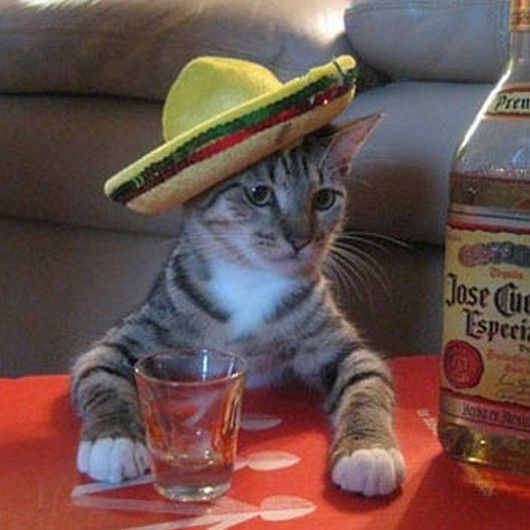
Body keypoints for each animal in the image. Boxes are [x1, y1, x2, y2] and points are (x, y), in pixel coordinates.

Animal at [70, 114, 404, 496]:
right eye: (259, 194)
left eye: (324, 198)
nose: (301, 239)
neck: (251, 282)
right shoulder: (129, 334)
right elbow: (100, 374)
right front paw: (113, 441)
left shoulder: (339, 344)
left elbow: (368, 381)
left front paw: (370, 451)